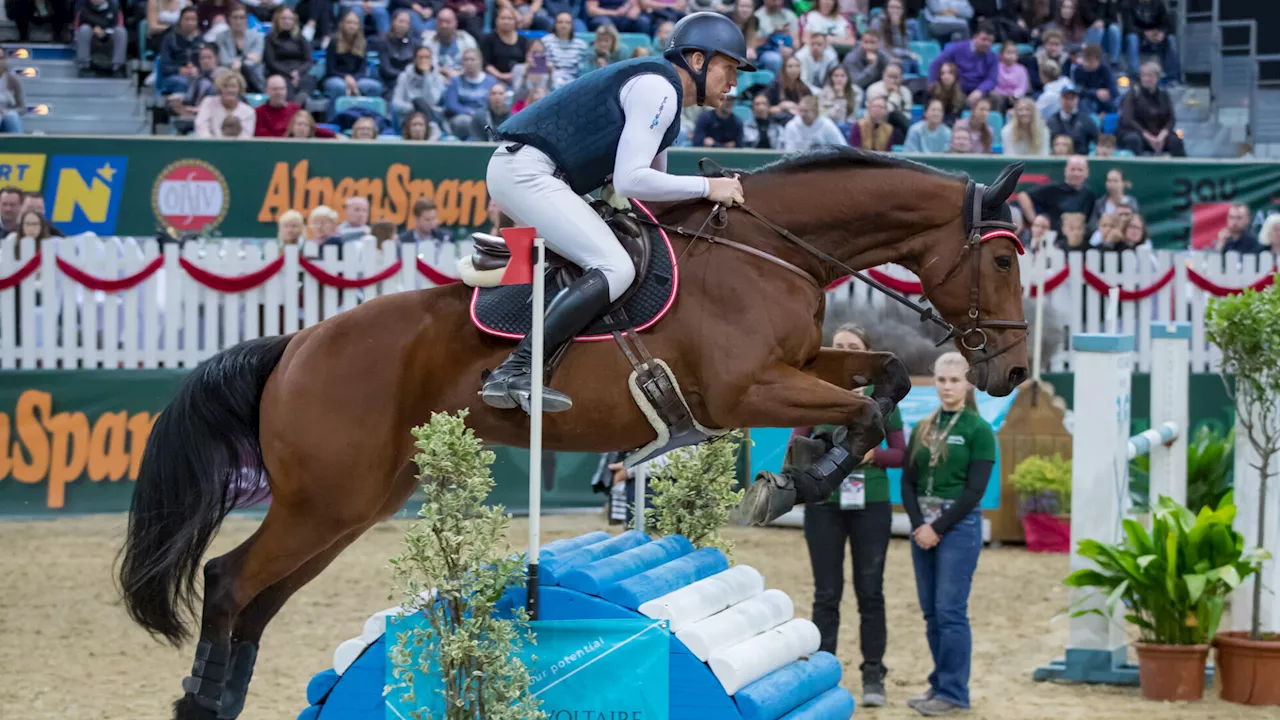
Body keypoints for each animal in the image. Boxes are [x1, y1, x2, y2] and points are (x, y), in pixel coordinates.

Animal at [115, 144, 1024, 712]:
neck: (774, 251)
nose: (1011, 374)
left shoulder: (802, 365)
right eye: (1006, 258)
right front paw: (794, 482)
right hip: (326, 500)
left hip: (353, 503)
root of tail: (296, 343)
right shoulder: (748, 390)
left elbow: (886, 379)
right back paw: (202, 701)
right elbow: (867, 407)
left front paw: (805, 467)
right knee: (229, 581)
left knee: (258, 600)